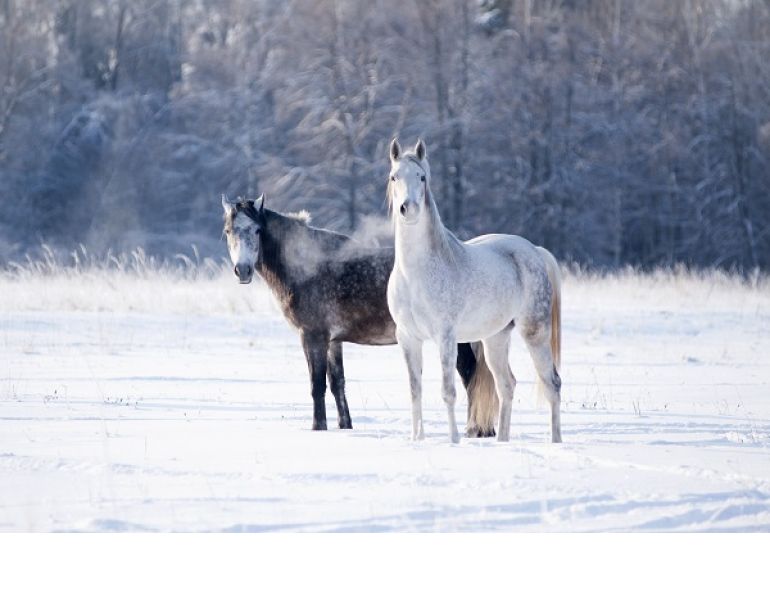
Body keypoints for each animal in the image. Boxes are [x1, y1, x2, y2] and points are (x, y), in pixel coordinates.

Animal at [221, 194, 499, 435]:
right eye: (228, 231)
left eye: (257, 230)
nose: (243, 270)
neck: (306, 265)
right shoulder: (333, 341)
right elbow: (337, 384)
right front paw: (345, 426)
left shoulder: (312, 336)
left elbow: (317, 385)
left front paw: (318, 427)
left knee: (470, 377)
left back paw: (475, 429)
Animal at [386, 138, 563, 443]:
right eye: (394, 177)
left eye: (422, 177)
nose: (408, 209)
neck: (415, 274)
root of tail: (535, 251)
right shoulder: (408, 337)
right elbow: (415, 391)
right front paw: (417, 439)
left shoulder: (445, 337)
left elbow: (448, 392)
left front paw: (454, 440)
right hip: (496, 339)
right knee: (507, 385)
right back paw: (502, 441)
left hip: (535, 334)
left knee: (552, 384)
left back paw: (556, 442)